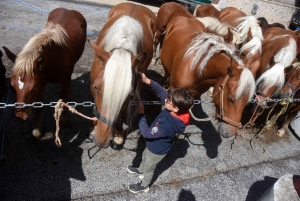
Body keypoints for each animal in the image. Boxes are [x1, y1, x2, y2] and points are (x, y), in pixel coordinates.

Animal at [3, 7, 86, 140]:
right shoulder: (41, 82)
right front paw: (37, 129)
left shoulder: (62, 81)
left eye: (33, 88)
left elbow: (62, 100)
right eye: (12, 86)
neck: (56, 55)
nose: (20, 116)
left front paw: (64, 119)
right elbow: (39, 104)